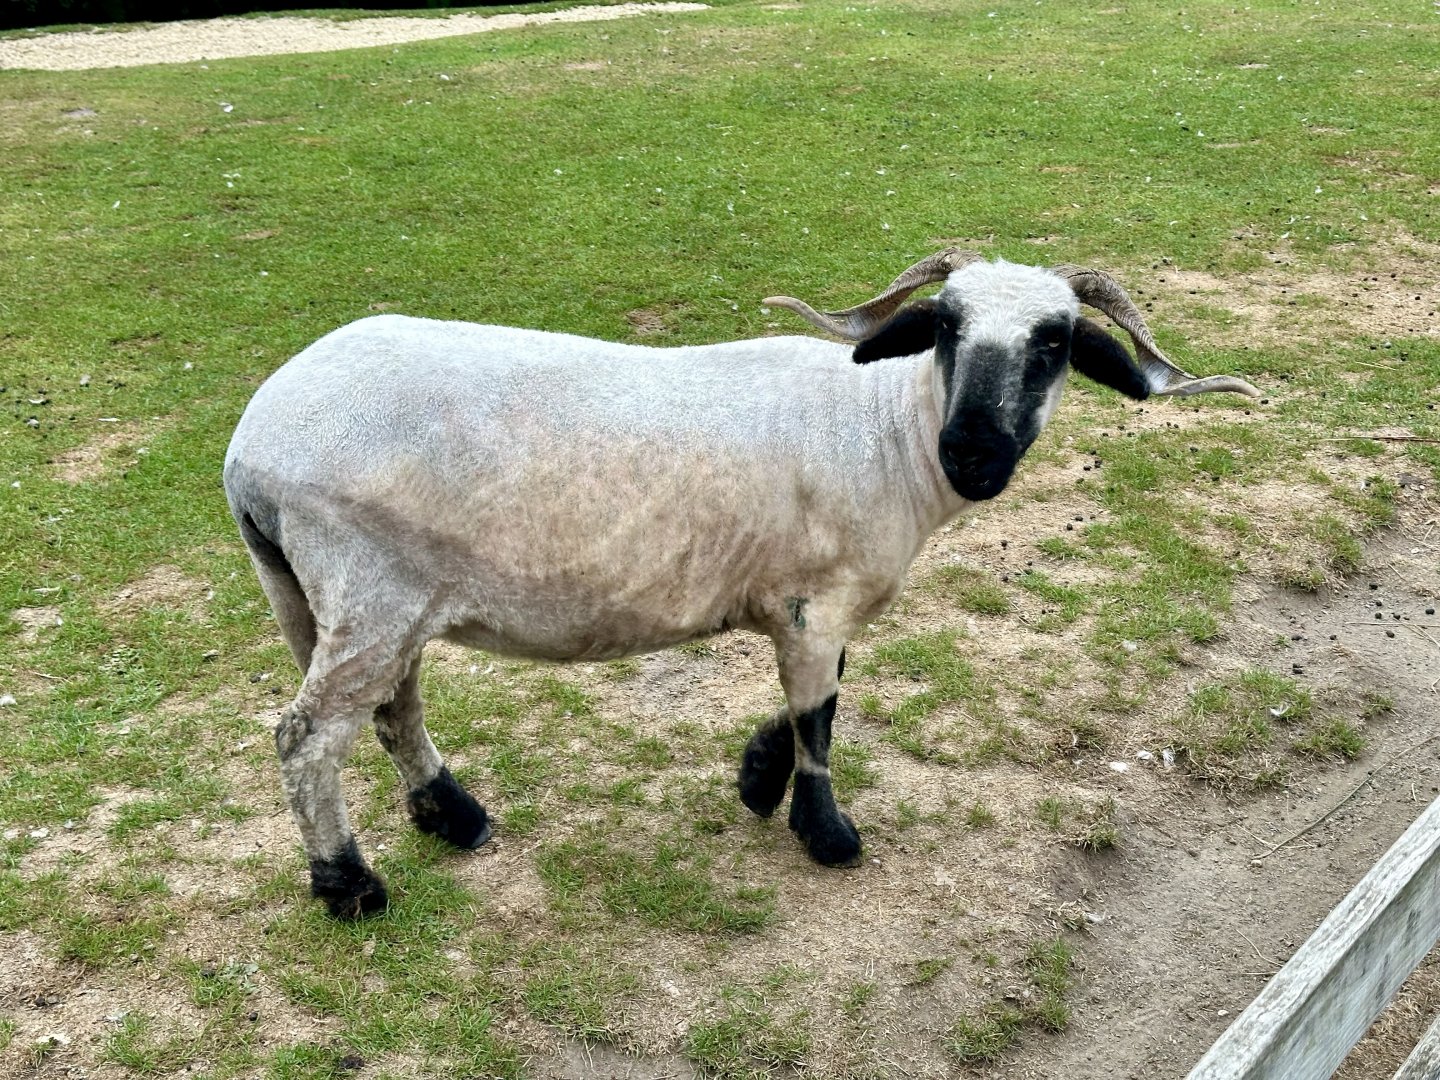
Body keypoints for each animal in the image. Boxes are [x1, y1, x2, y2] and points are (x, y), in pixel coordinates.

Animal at [223, 249, 1259, 917]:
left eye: (1053, 342)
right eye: (947, 329)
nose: (973, 453)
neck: (885, 429)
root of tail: (250, 448)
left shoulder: (803, 605)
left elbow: (818, 693)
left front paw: (758, 776)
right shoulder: (814, 599)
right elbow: (821, 714)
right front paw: (825, 832)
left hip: (327, 597)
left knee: (392, 712)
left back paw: (453, 818)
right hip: (370, 591)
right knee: (307, 738)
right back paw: (350, 886)